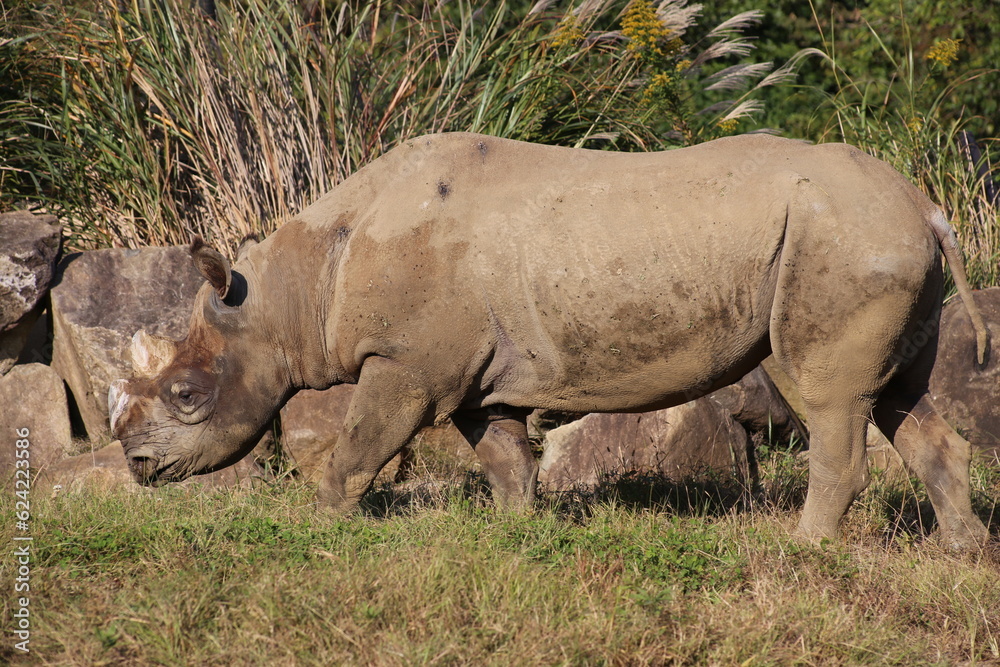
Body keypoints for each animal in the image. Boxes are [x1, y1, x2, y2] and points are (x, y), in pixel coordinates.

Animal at [109, 133, 991, 547]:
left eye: (186, 395)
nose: (140, 466)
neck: (295, 288)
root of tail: (927, 205)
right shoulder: (466, 372)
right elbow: (505, 457)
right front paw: (516, 531)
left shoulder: (408, 365)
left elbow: (358, 447)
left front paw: (320, 527)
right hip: (873, 238)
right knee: (899, 397)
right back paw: (962, 552)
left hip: (842, 239)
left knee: (829, 396)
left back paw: (803, 550)